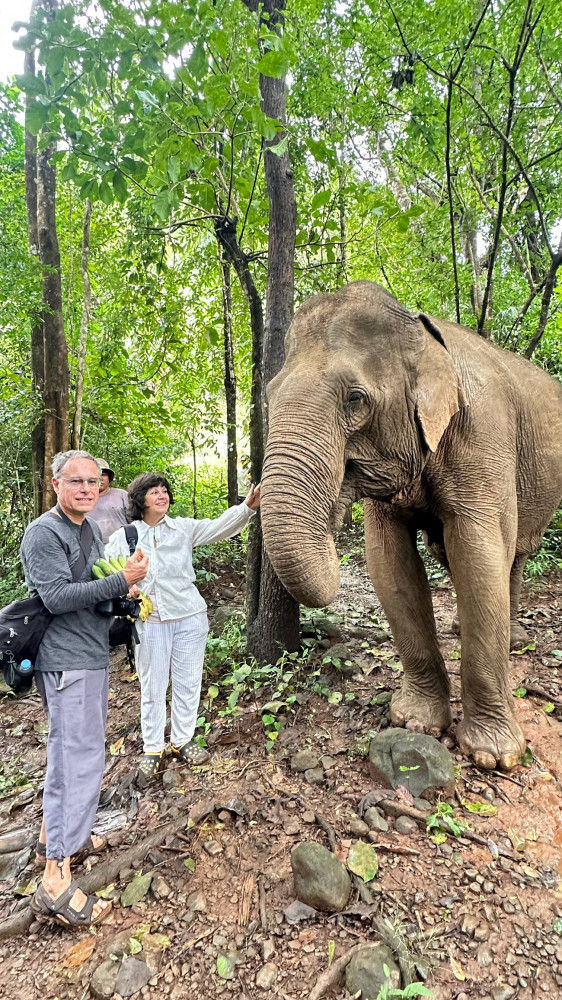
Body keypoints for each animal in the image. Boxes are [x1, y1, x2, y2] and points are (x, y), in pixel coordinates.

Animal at [260, 280, 562, 770]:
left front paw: (493, 757)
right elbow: (389, 563)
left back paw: (514, 641)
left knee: (515, 552)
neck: (420, 332)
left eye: (355, 399)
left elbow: (478, 552)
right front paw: (416, 723)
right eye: (269, 394)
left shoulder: (483, 435)